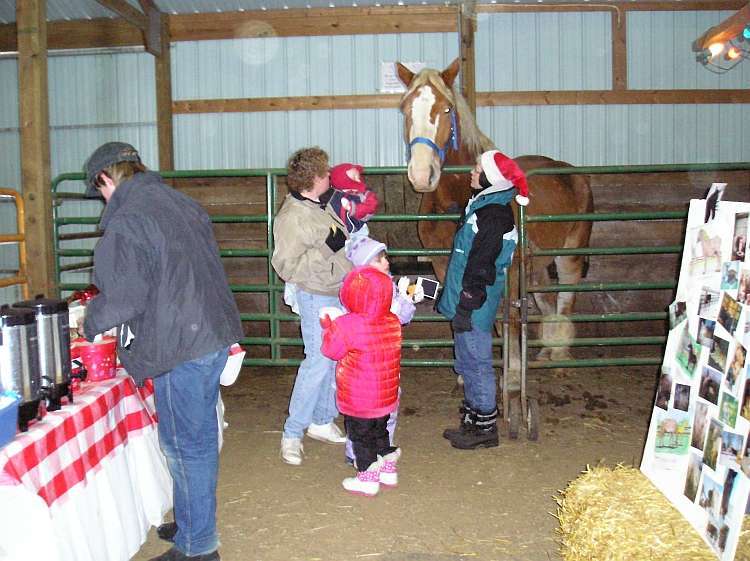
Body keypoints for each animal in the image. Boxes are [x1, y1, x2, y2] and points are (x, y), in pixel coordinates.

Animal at [396, 58, 596, 372]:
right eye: (405, 108)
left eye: (447, 108)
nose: (421, 174)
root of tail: (571, 172)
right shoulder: (444, 265)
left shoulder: (505, 270)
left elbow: (507, 319)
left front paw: (512, 369)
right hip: (536, 265)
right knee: (547, 299)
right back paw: (545, 352)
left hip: (570, 254)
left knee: (566, 296)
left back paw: (560, 357)